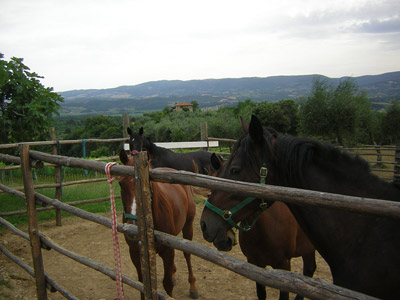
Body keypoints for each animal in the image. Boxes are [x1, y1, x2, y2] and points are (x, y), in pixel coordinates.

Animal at [119, 150, 200, 300]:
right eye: (121, 184)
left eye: (147, 185)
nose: (133, 227)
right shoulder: (134, 252)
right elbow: (141, 283)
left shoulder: (168, 251)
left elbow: (167, 283)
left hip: (188, 226)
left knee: (187, 254)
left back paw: (193, 287)